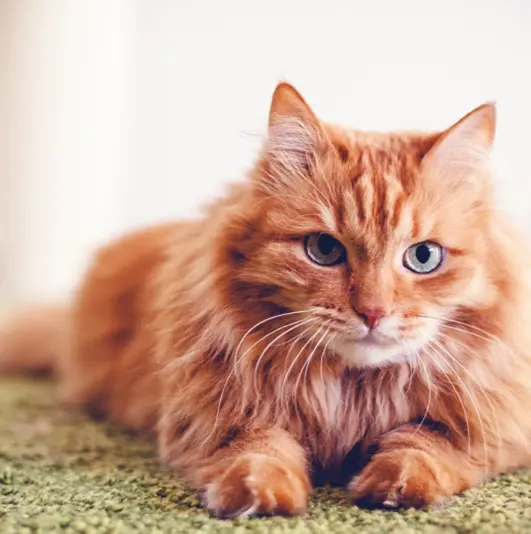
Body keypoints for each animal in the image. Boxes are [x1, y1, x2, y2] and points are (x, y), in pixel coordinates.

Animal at [1, 84, 531, 520]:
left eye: (423, 257)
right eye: (324, 250)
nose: (373, 312)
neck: (351, 395)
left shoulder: (491, 426)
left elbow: (425, 444)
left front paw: (395, 485)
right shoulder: (224, 418)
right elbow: (260, 450)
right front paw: (261, 494)